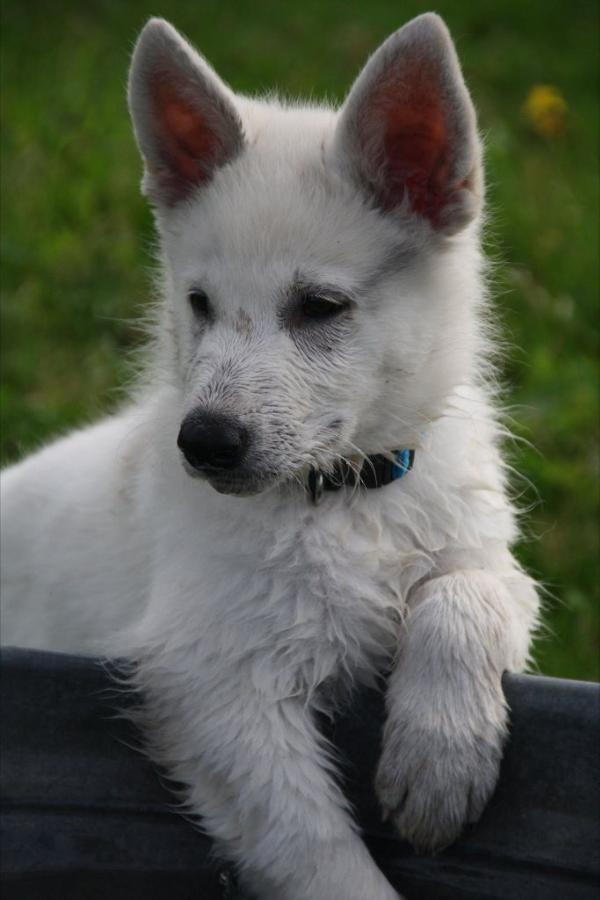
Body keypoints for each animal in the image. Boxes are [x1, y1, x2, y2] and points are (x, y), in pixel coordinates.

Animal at [0, 15, 540, 900]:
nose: (203, 442)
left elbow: (464, 591)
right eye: (198, 304)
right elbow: (324, 860)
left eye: (319, 307)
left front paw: (440, 754)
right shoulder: (215, 681)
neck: (342, 498)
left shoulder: (492, 561)